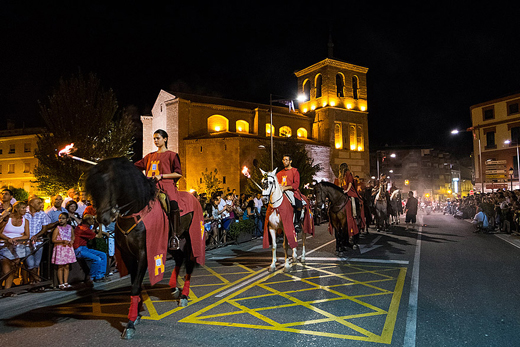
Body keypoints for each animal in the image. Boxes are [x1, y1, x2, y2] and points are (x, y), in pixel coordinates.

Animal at [84, 158, 200, 340]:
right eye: (94, 189)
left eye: (109, 185)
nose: (103, 218)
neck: (135, 212)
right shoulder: (128, 255)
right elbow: (134, 283)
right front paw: (136, 314)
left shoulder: (145, 253)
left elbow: (136, 286)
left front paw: (130, 323)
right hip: (168, 244)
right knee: (179, 257)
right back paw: (174, 287)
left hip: (190, 237)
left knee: (188, 263)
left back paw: (184, 295)